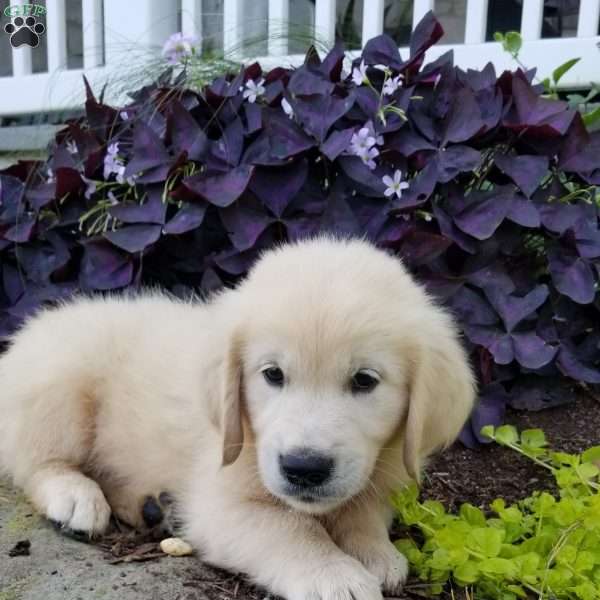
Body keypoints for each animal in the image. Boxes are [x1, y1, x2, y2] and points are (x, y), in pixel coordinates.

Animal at [0, 237, 478, 596]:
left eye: (365, 380)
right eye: (272, 374)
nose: (304, 469)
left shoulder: (381, 473)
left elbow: (363, 511)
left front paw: (374, 551)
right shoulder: (220, 503)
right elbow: (289, 528)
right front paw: (335, 575)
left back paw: (149, 507)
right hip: (60, 384)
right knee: (35, 461)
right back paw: (75, 497)